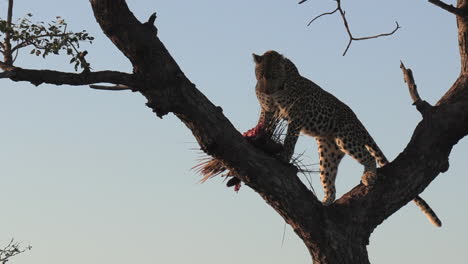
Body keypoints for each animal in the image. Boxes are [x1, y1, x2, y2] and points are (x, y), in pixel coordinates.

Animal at [254, 50, 440, 227]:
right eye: (261, 75)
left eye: (274, 75)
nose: (266, 90)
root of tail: (357, 120)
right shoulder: (268, 110)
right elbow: (265, 123)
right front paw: (258, 135)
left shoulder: (295, 116)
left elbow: (290, 140)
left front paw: (284, 156)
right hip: (329, 151)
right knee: (329, 178)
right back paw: (325, 202)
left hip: (345, 137)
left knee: (369, 157)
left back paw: (369, 177)